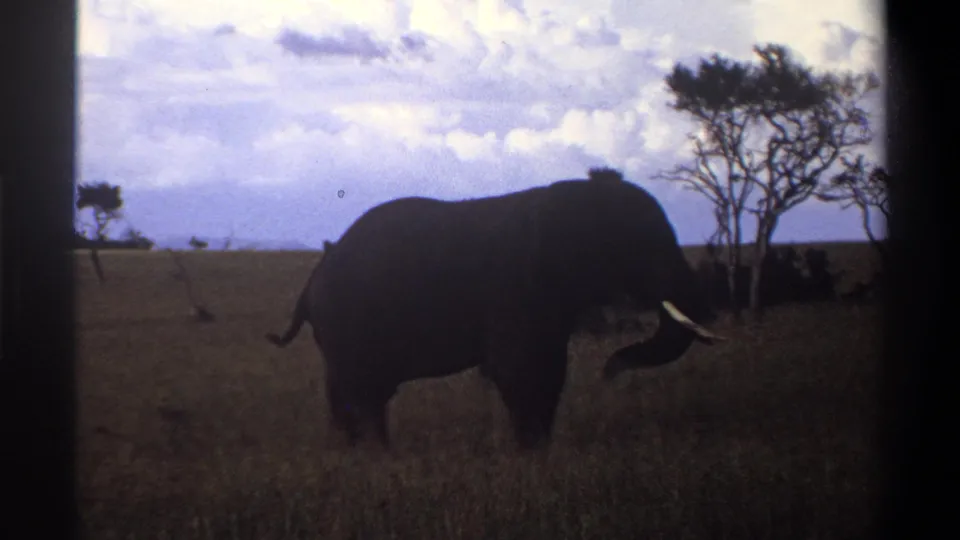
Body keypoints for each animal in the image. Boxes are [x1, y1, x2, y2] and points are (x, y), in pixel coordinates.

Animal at [266, 173, 725, 450]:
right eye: (639, 244)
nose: (609, 371)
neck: (571, 197)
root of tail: (314, 276)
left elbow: (549, 371)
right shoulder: (516, 286)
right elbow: (521, 370)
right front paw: (531, 456)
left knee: (355, 393)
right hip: (348, 322)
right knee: (363, 392)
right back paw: (378, 457)